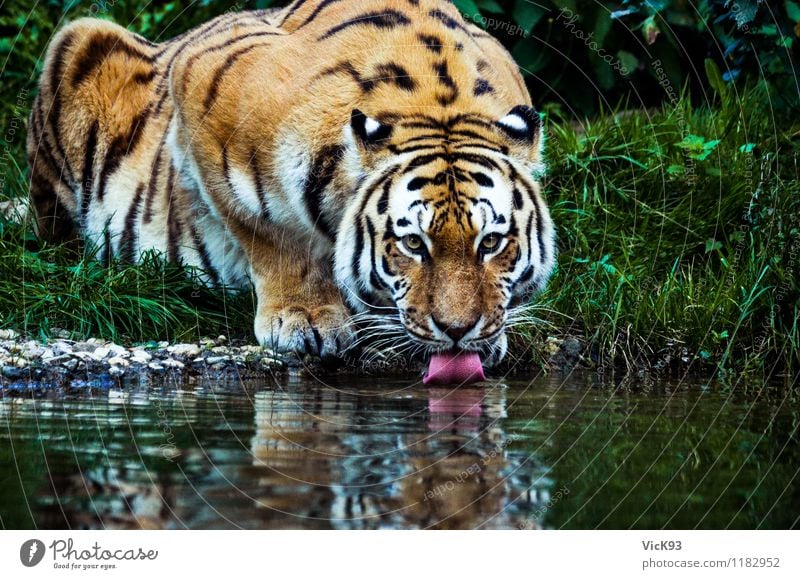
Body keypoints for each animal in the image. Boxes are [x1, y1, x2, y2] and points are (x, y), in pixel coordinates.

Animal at [29, 0, 556, 372]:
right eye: (412, 244)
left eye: (491, 242)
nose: (458, 331)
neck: (438, 108)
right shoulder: (204, 78)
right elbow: (270, 229)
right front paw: (304, 319)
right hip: (80, 40)